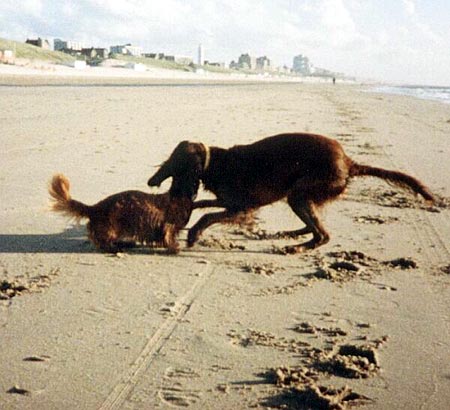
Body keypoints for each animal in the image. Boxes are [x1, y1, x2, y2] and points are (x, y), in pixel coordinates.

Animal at [48, 173, 198, 253]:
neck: (178, 194)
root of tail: (94, 208)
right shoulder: (169, 226)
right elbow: (168, 237)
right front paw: (174, 248)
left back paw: (125, 244)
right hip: (111, 229)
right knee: (102, 242)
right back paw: (116, 248)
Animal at [149, 133, 436, 253]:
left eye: (175, 166)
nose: (153, 182)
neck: (215, 163)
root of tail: (349, 162)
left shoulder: (242, 208)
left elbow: (207, 216)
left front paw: (194, 235)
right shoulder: (230, 203)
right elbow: (205, 206)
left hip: (299, 195)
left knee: (323, 235)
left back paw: (296, 247)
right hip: (299, 197)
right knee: (313, 227)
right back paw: (290, 234)